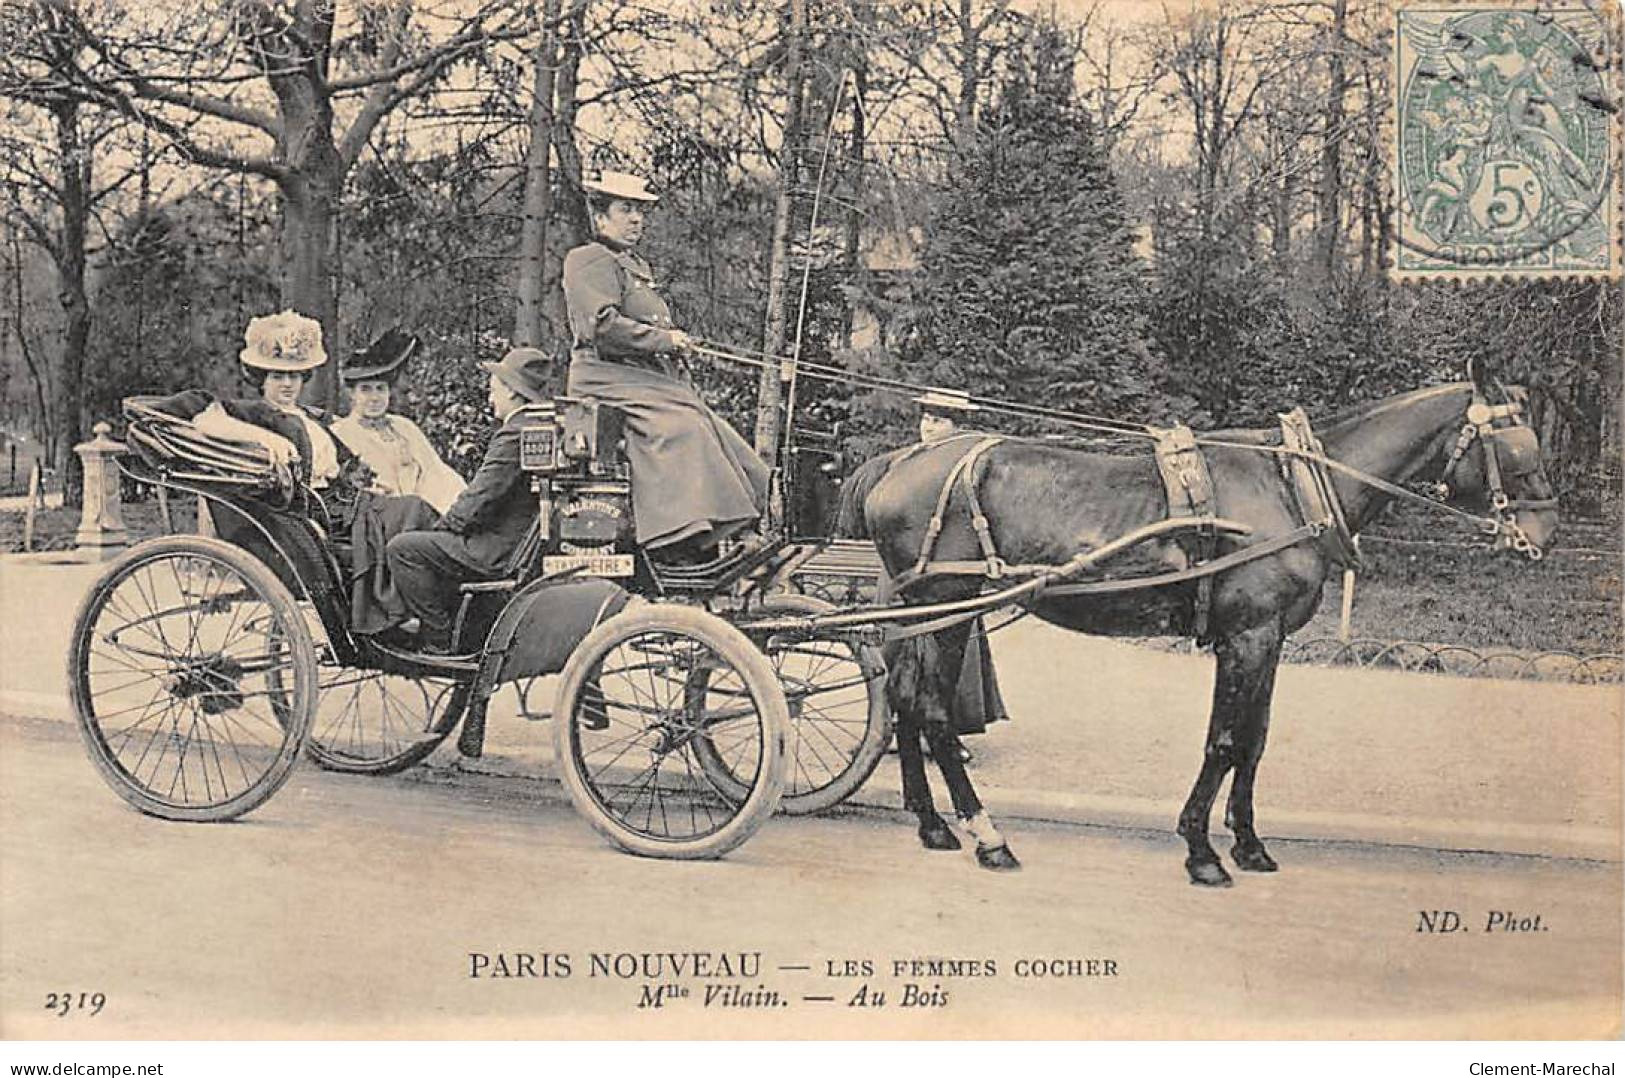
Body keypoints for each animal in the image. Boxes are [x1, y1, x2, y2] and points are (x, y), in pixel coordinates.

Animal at [838, 378, 1560, 884]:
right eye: (1517, 446)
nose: (1545, 533)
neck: (1292, 488)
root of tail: (901, 461)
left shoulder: (1270, 639)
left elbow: (1254, 741)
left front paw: (1247, 844)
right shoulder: (1247, 636)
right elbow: (1224, 741)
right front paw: (1201, 850)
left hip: (923, 611)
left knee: (904, 702)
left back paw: (933, 824)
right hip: (948, 607)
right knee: (934, 712)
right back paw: (988, 836)